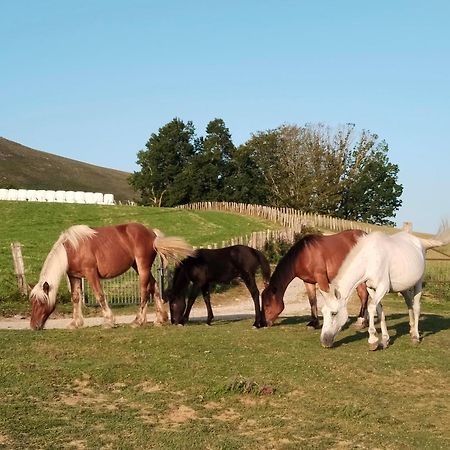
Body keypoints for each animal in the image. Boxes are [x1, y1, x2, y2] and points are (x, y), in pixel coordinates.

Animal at [28, 222, 193, 330]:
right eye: (32, 302)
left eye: (41, 302)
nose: (34, 326)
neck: (72, 249)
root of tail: (152, 234)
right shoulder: (74, 276)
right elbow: (75, 298)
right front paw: (75, 323)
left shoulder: (91, 273)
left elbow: (99, 295)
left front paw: (109, 321)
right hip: (137, 267)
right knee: (155, 286)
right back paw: (160, 320)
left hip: (142, 267)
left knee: (144, 291)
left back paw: (138, 321)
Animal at [320, 225, 450, 352]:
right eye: (323, 312)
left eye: (334, 313)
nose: (324, 341)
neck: (370, 259)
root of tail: (420, 242)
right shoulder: (371, 289)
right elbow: (379, 311)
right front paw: (385, 340)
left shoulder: (382, 288)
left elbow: (371, 307)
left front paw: (372, 340)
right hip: (404, 288)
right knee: (409, 304)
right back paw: (412, 330)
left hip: (418, 282)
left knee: (417, 307)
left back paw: (415, 336)